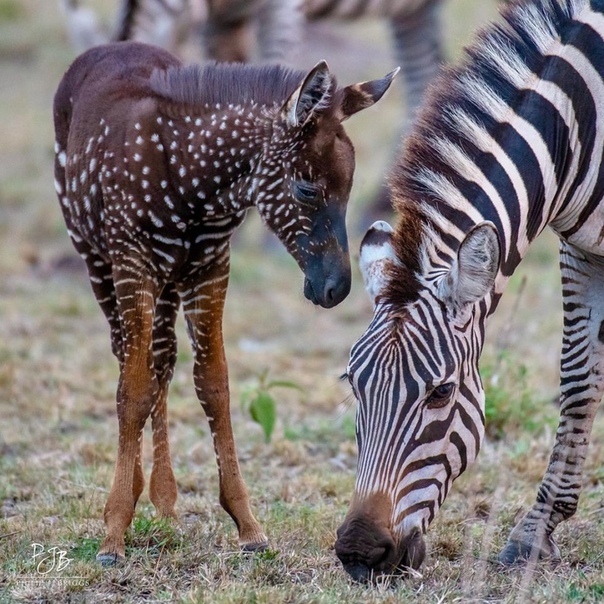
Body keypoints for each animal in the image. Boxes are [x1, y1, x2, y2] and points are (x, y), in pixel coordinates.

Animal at [53, 40, 396, 564]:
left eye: (351, 186)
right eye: (306, 187)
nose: (335, 288)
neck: (191, 182)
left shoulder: (211, 264)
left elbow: (214, 385)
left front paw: (247, 523)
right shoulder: (131, 262)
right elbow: (131, 391)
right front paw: (113, 529)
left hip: (168, 281)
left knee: (162, 358)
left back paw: (164, 499)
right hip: (95, 257)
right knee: (130, 357)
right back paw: (136, 491)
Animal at [336, 0, 604, 584]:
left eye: (441, 393)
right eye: (353, 384)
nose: (359, 554)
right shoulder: (580, 246)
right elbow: (579, 384)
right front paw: (536, 533)